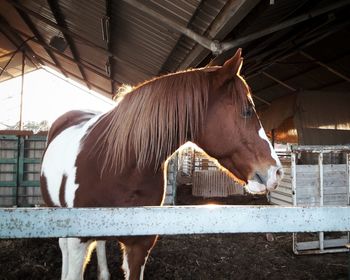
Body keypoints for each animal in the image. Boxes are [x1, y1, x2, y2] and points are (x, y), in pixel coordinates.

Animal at [39, 48, 284, 280]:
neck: (119, 166)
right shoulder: (77, 238)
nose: (277, 172)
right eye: (247, 110)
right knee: (64, 247)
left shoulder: (140, 245)